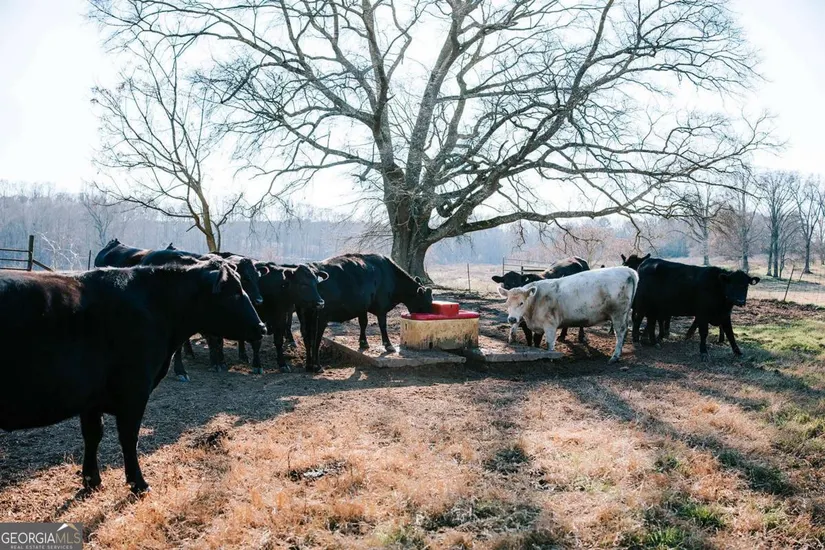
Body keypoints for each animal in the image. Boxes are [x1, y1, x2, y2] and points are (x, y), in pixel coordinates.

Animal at [0, 260, 265, 494]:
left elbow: (93, 435)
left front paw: (92, 480)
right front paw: (138, 483)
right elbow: (129, 437)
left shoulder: (91, 398)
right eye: (234, 293)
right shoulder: (134, 390)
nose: (261, 327)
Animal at [296, 254, 433, 372]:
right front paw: (388, 345)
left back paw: (309, 366)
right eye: (426, 302)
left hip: (304, 317)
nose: (430, 315)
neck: (391, 275)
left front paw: (363, 343)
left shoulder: (362, 307)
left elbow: (363, 323)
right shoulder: (381, 306)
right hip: (320, 318)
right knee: (315, 338)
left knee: (306, 337)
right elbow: (382, 325)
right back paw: (317, 366)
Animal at [497, 267, 638, 363]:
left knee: (620, 333)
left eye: (521, 303)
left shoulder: (550, 325)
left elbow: (549, 344)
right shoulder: (538, 327)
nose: (512, 319)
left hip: (618, 314)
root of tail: (627, 270)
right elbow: (535, 342)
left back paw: (615, 356)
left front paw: (550, 358)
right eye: (507, 303)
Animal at [631, 258, 759, 360]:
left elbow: (730, 333)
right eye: (732, 284)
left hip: (653, 308)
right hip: (642, 305)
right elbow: (704, 332)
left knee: (651, 323)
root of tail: (646, 262)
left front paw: (738, 352)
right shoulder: (702, 313)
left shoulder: (725, 315)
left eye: (746, 285)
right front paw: (703, 352)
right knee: (637, 321)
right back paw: (636, 341)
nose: (740, 301)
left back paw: (653, 342)